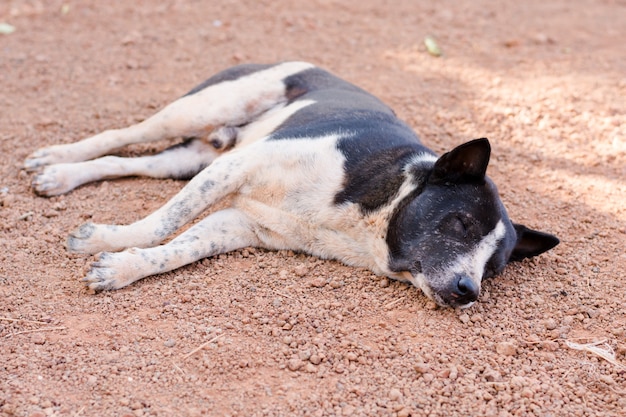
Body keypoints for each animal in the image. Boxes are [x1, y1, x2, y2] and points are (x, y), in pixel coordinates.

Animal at [23, 62, 556, 308]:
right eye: (460, 222)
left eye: (494, 270)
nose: (469, 290)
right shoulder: (236, 169)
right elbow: (161, 225)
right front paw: (106, 241)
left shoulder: (236, 223)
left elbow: (176, 249)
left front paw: (122, 268)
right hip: (201, 110)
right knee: (123, 135)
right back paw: (56, 160)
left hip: (191, 159)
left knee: (132, 161)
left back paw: (64, 175)